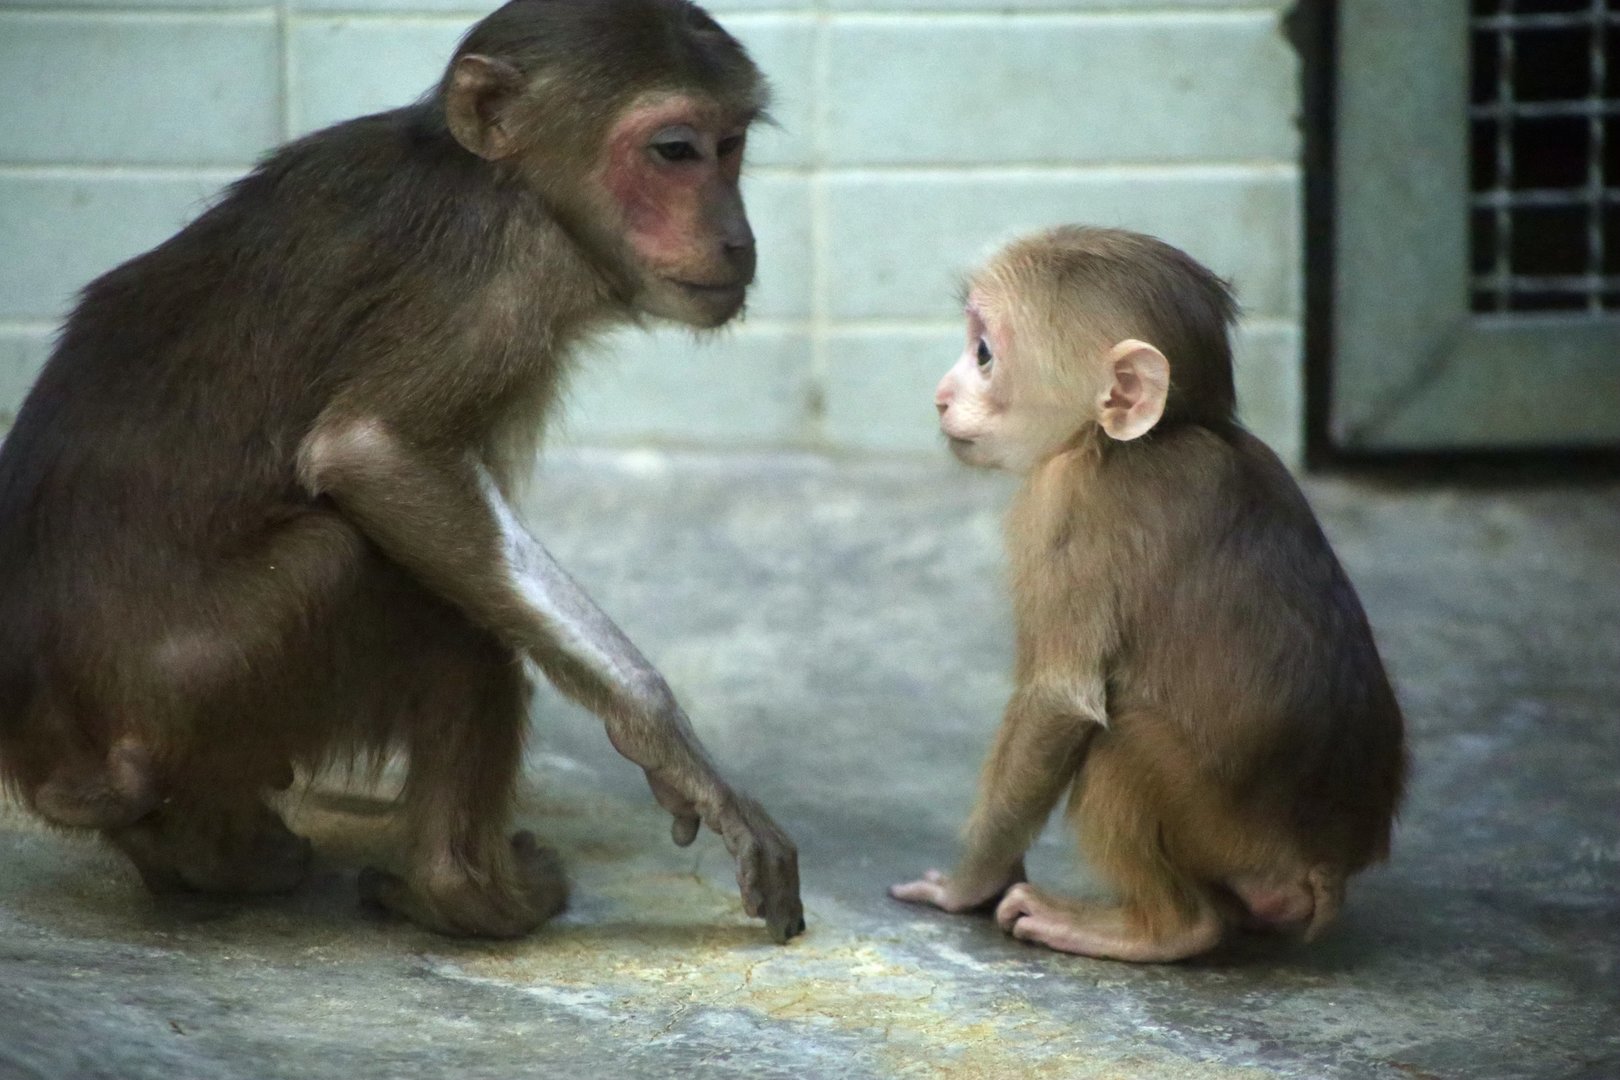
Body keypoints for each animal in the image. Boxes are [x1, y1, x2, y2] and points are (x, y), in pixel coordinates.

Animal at [0, 0, 804, 944]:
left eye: (732, 145)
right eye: (675, 151)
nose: (736, 234)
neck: (502, 182)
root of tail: (50, 744)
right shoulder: (506, 274)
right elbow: (373, 450)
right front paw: (663, 739)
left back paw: (204, 854)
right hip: (193, 682)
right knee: (418, 602)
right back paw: (464, 895)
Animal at [890, 226, 1405, 963]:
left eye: (984, 353)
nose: (939, 393)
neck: (1136, 439)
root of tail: (1323, 861)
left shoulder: (1064, 504)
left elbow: (1059, 700)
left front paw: (966, 886)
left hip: (1221, 828)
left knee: (1121, 746)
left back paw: (1162, 929)